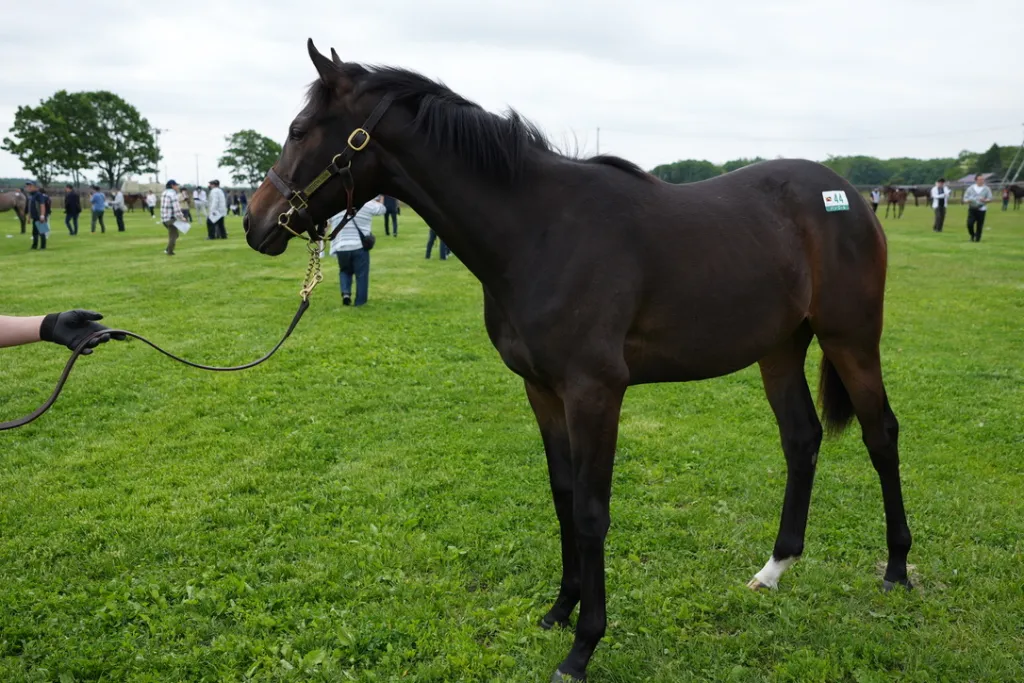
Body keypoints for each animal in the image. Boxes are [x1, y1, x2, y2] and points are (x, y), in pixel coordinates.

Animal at [243, 40, 913, 682]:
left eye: (300, 129)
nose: (255, 222)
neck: (539, 231)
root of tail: (850, 198)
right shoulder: (543, 391)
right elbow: (563, 494)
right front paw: (560, 609)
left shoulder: (595, 393)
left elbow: (592, 512)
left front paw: (583, 646)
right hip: (780, 348)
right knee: (801, 439)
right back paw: (775, 568)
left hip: (852, 338)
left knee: (881, 434)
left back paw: (897, 569)